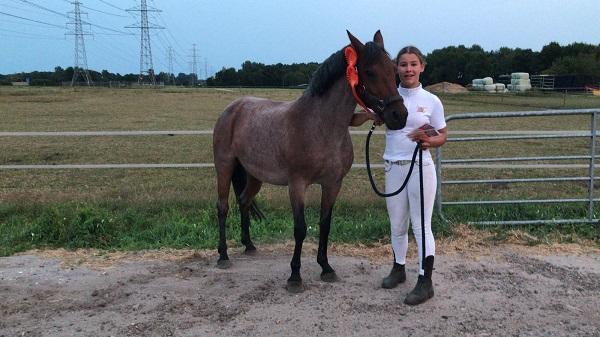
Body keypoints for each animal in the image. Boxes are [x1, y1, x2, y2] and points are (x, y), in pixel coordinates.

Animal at [211, 30, 408, 292]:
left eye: (394, 70)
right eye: (369, 72)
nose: (399, 115)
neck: (319, 126)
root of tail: (232, 108)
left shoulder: (333, 184)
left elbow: (325, 224)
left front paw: (326, 268)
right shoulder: (297, 185)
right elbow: (300, 229)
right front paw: (295, 276)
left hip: (254, 175)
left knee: (243, 201)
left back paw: (249, 245)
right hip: (224, 166)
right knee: (223, 207)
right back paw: (223, 255)